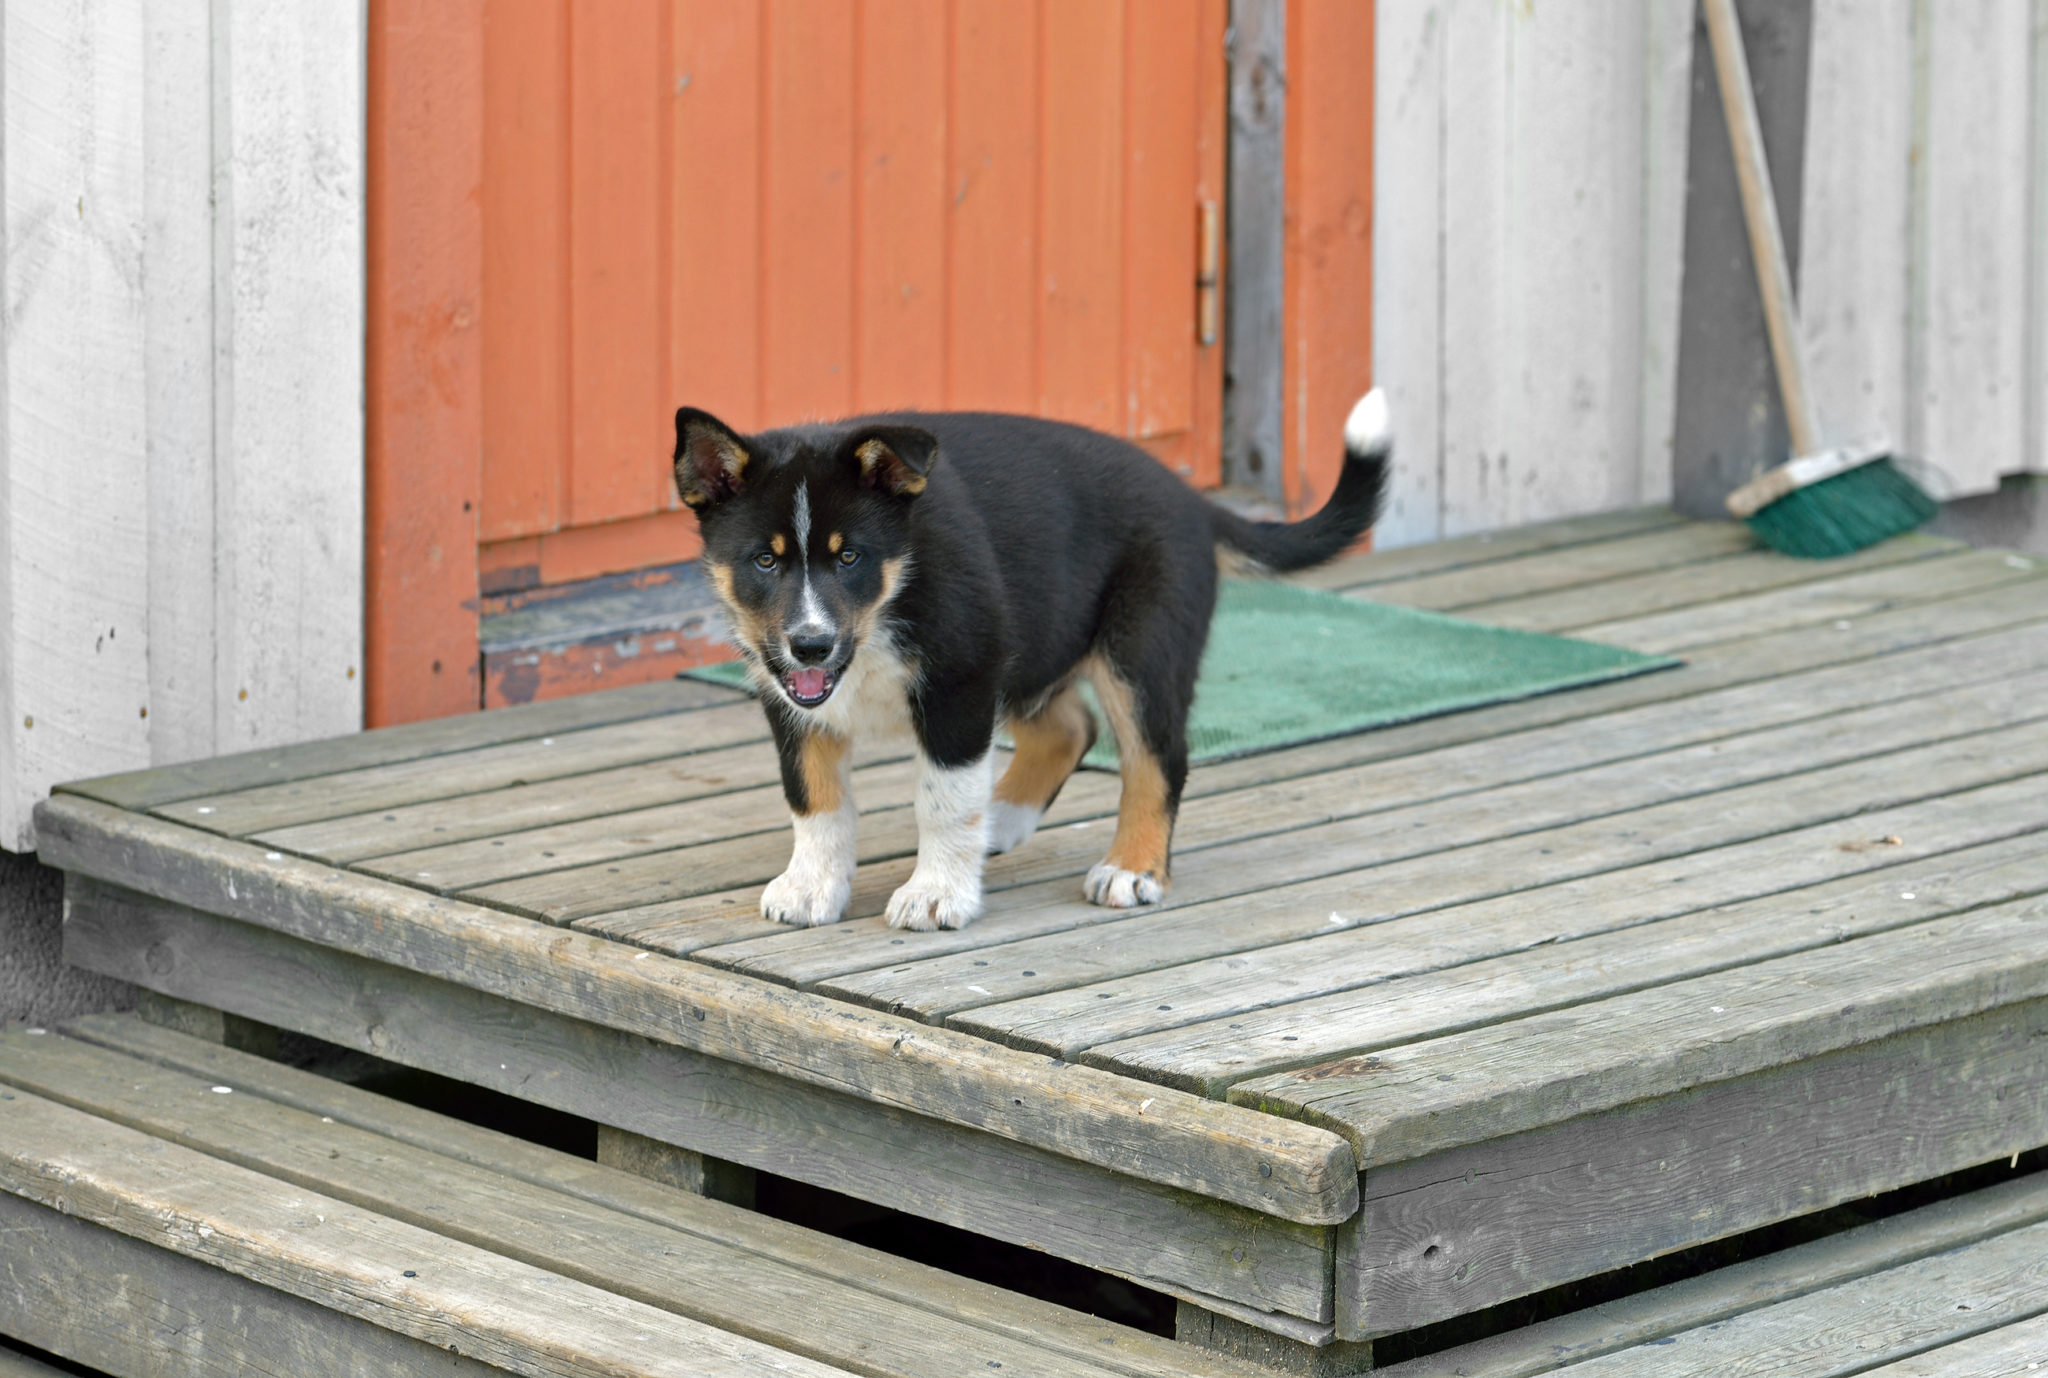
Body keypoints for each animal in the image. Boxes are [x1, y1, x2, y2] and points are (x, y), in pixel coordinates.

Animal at [671, 397, 1392, 933]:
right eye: (765, 561)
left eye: (850, 557)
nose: (811, 645)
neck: (886, 603)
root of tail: (1195, 500)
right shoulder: (790, 697)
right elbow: (814, 798)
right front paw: (812, 887)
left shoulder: (961, 679)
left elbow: (943, 798)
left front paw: (937, 895)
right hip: (1035, 642)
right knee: (1071, 728)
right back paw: (1003, 820)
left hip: (1138, 648)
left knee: (1157, 757)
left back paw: (1132, 868)